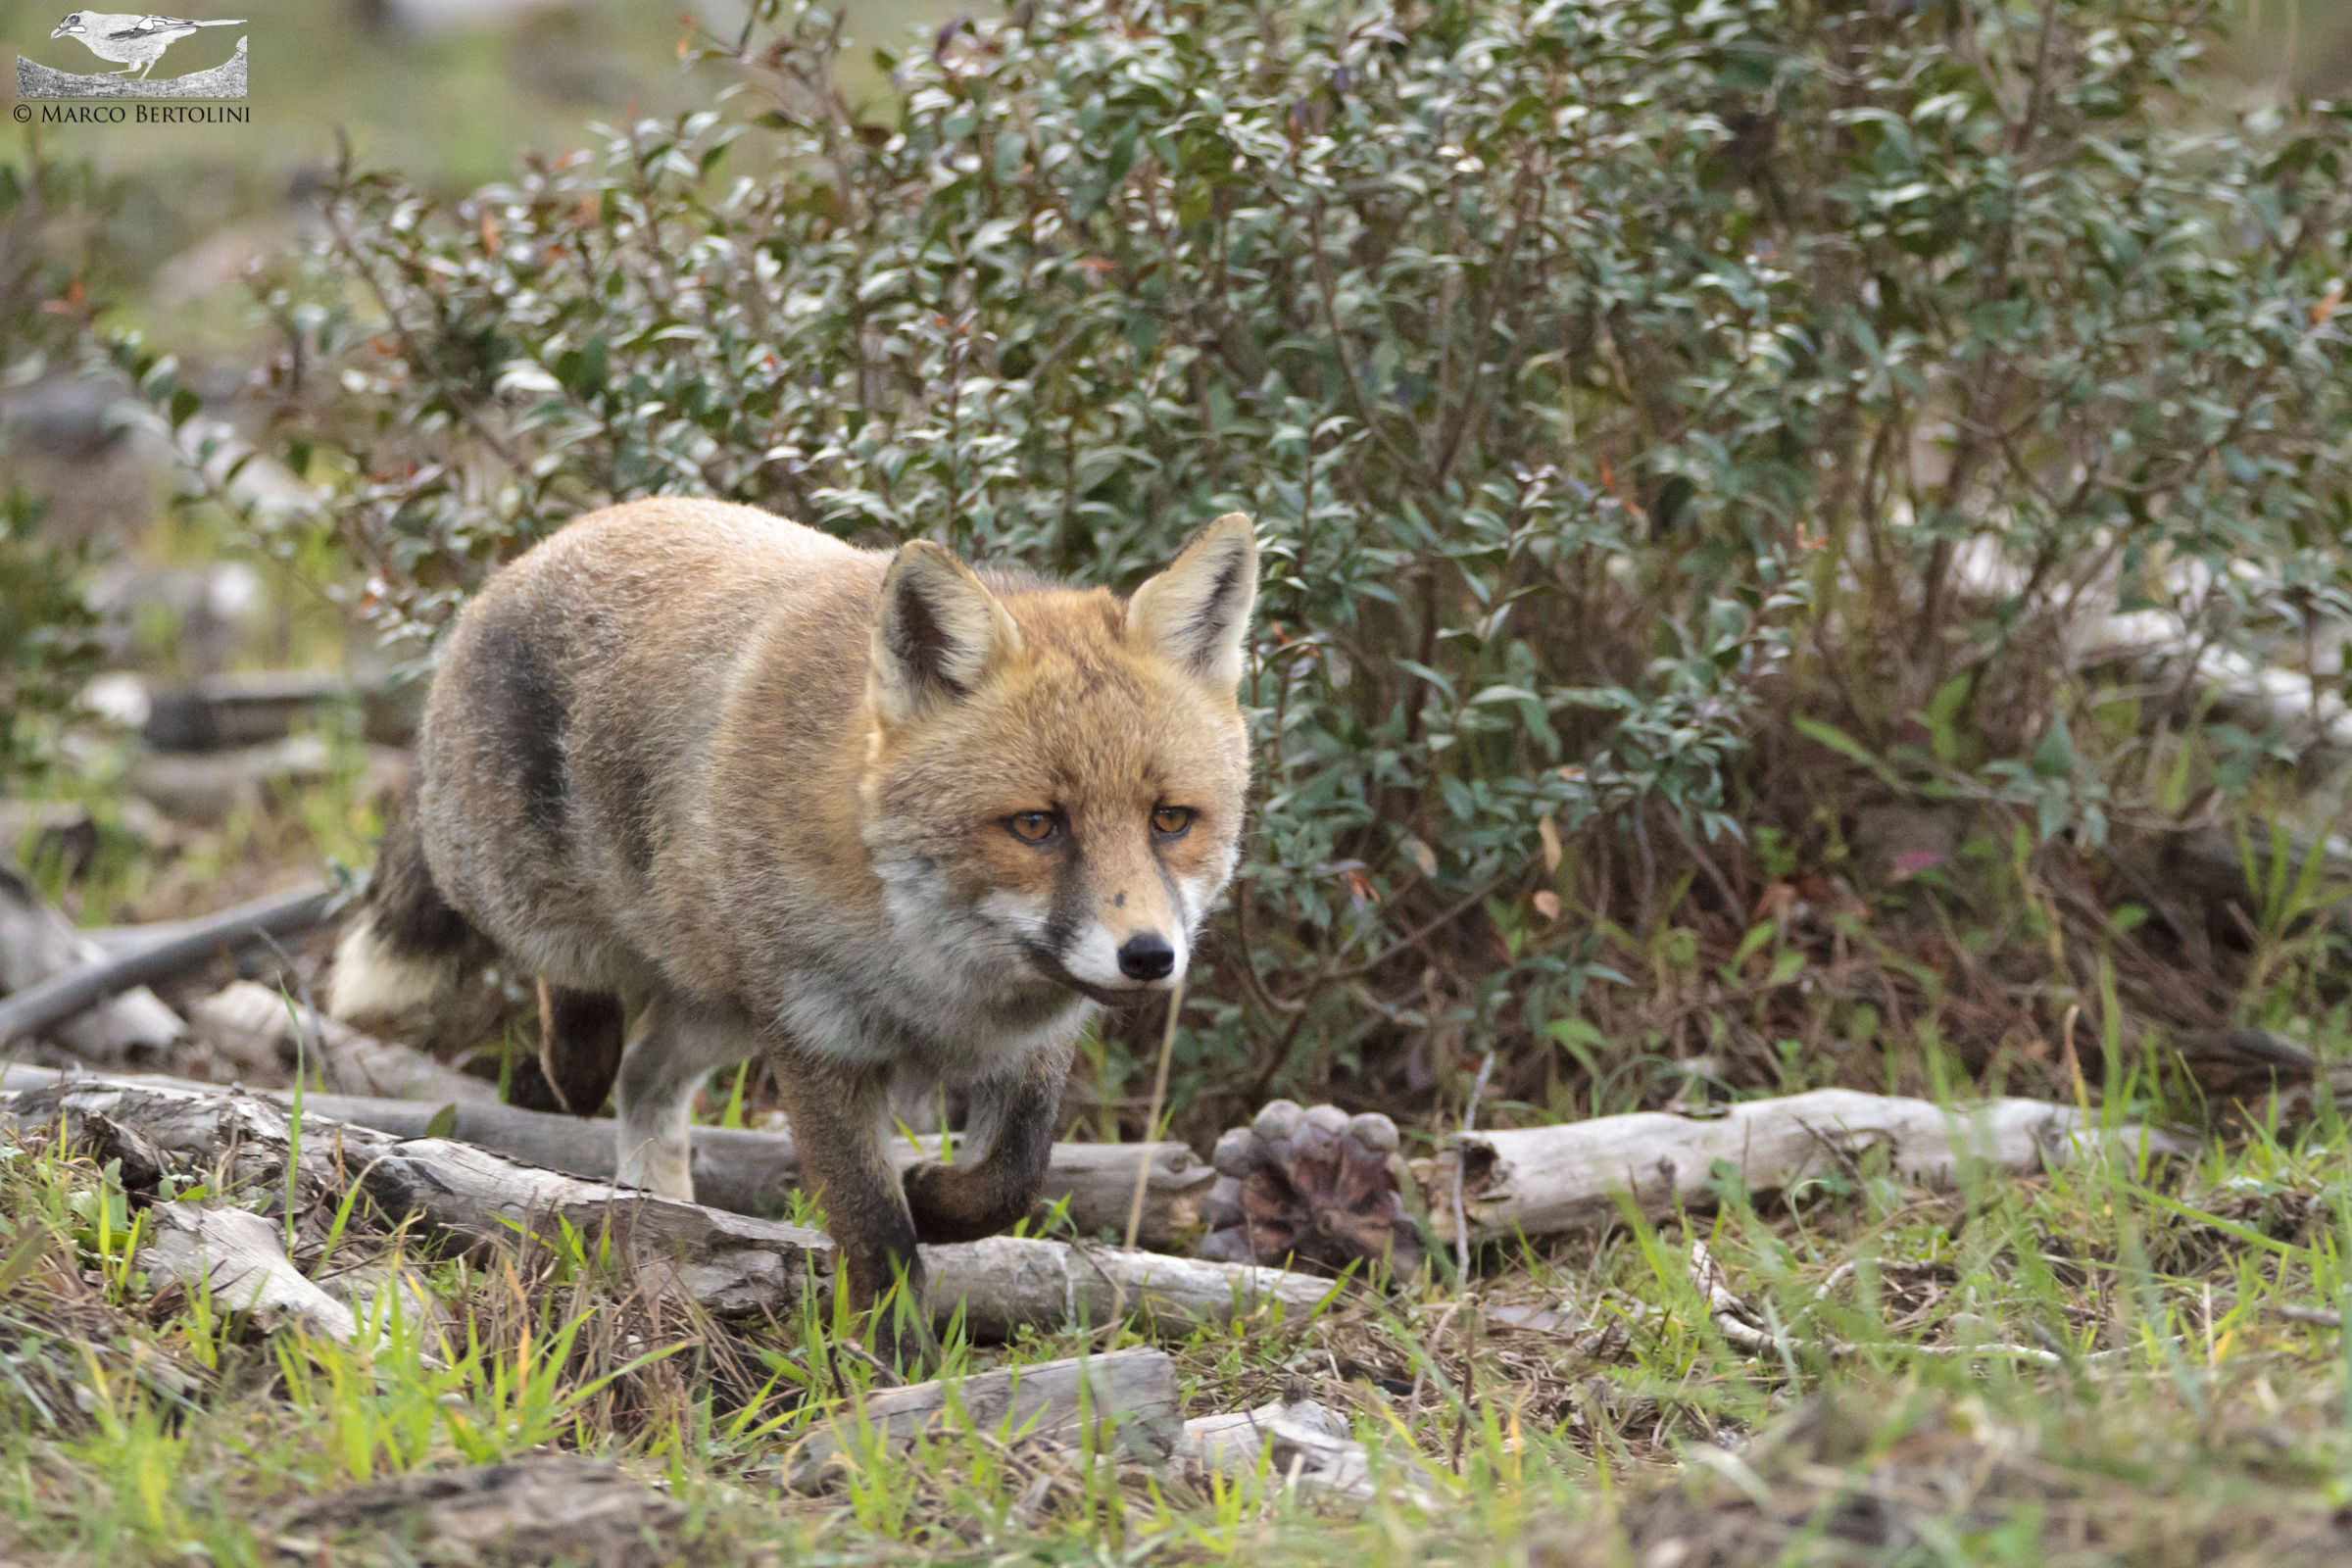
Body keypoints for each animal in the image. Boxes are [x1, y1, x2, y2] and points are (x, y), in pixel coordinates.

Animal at [326, 498, 1258, 1329]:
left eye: (1170, 820)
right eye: (1037, 825)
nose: (1149, 957)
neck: (939, 983)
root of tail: (543, 547)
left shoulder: (1029, 1046)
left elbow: (1012, 1179)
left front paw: (938, 1204)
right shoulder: (818, 1042)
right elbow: (875, 1231)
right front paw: (888, 1365)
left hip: (725, 1012)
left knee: (646, 1074)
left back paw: (660, 1206)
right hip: (538, 904)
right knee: (577, 1011)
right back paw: (578, 1058)